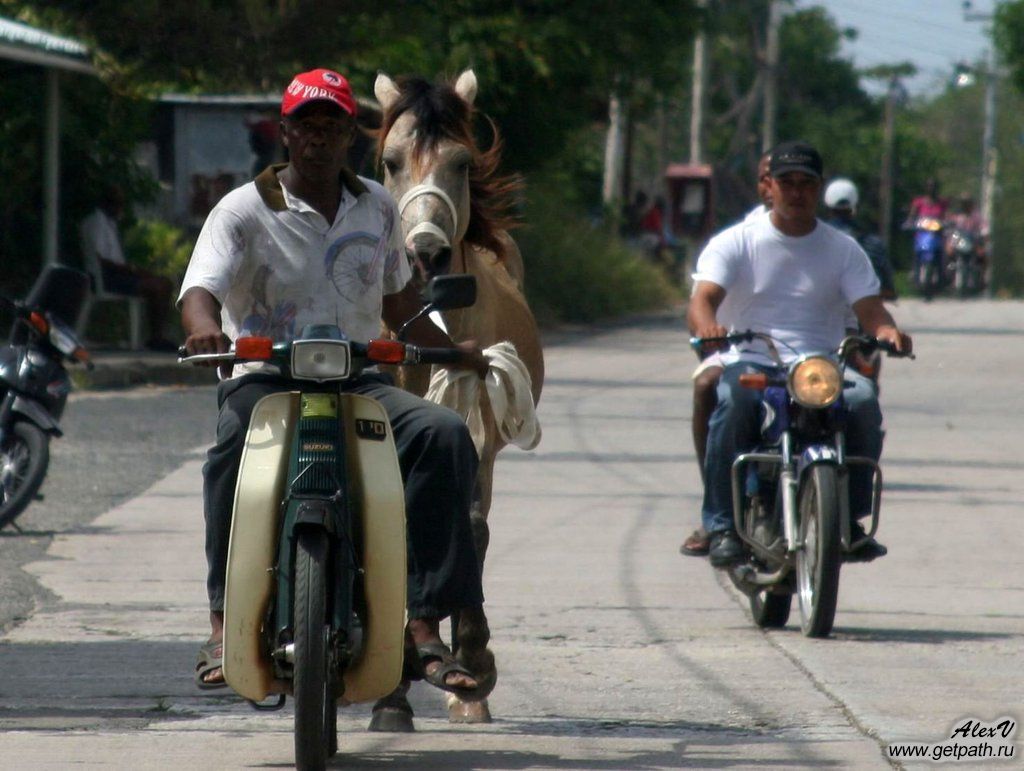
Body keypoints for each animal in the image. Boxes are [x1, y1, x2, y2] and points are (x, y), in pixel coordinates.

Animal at [370, 69, 544, 724]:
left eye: (462, 162)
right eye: (391, 162)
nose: (425, 253)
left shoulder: (477, 432)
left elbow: (467, 526)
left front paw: (472, 663)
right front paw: (394, 689)